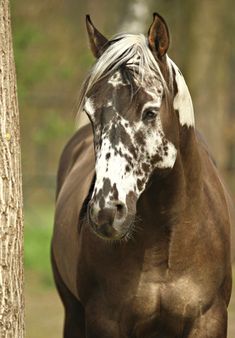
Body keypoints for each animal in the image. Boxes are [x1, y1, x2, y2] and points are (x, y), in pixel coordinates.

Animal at [50, 13, 232, 338]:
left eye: (150, 112)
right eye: (91, 114)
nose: (106, 213)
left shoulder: (209, 319)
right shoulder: (104, 321)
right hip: (73, 313)